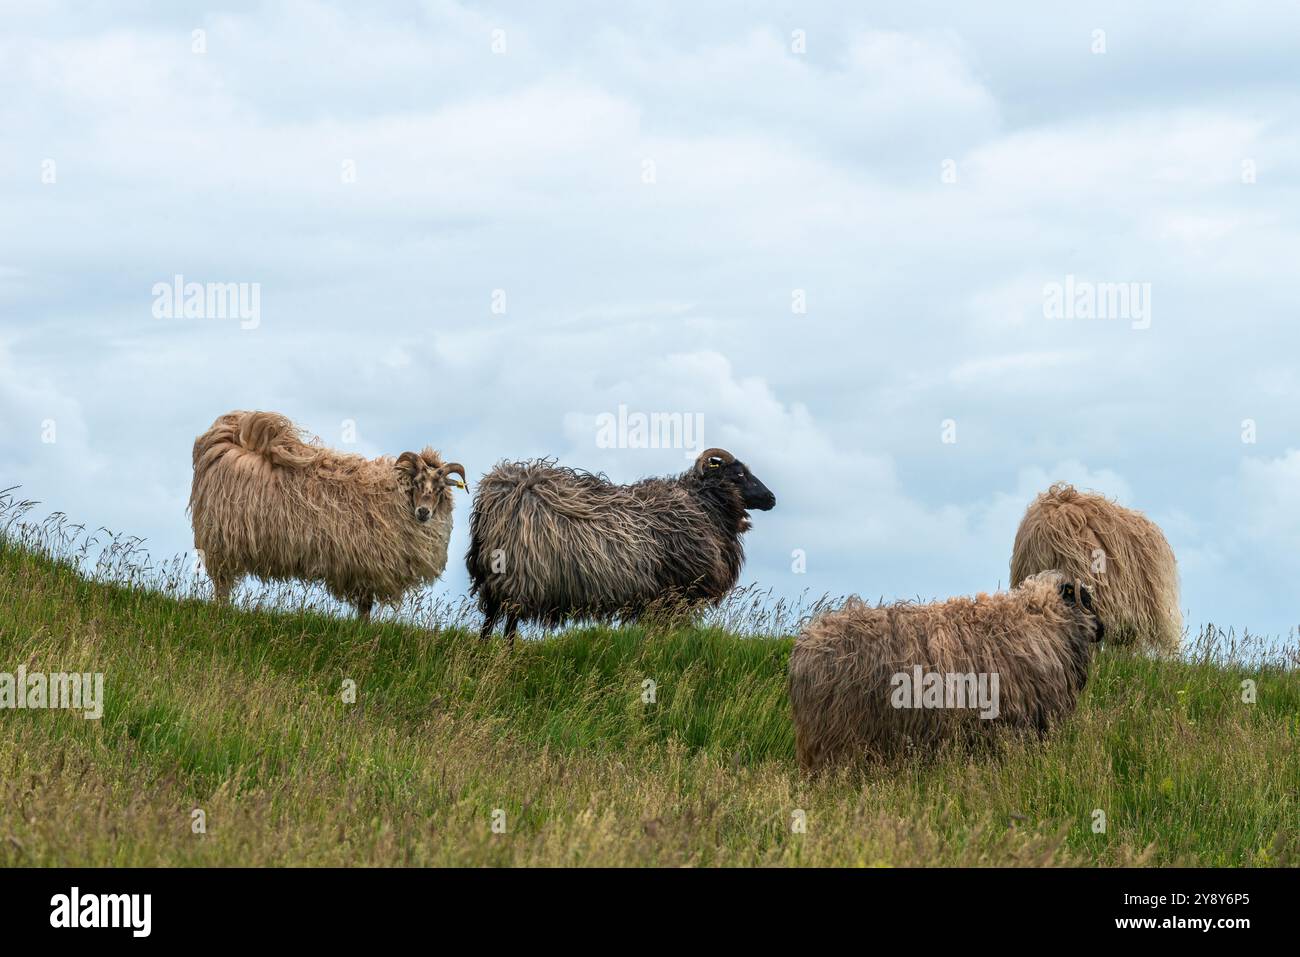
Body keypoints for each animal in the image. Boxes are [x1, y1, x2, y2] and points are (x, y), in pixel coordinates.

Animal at [189, 410, 466, 620]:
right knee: (222, 583)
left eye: (441, 489)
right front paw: (363, 629)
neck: (394, 495)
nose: (423, 512)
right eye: (417, 482)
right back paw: (222, 611)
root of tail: (228, 438)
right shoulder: (367, 566)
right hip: (222, 541)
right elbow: (365, 607)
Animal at [465, 448, 776, 644]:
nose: (772, 498)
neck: (701, 507)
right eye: (739, 475)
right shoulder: (674, 593)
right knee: (505, 622)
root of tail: (498, 494)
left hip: (499, 578)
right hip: (519, 575)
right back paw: (503, 655)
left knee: (492, 619)